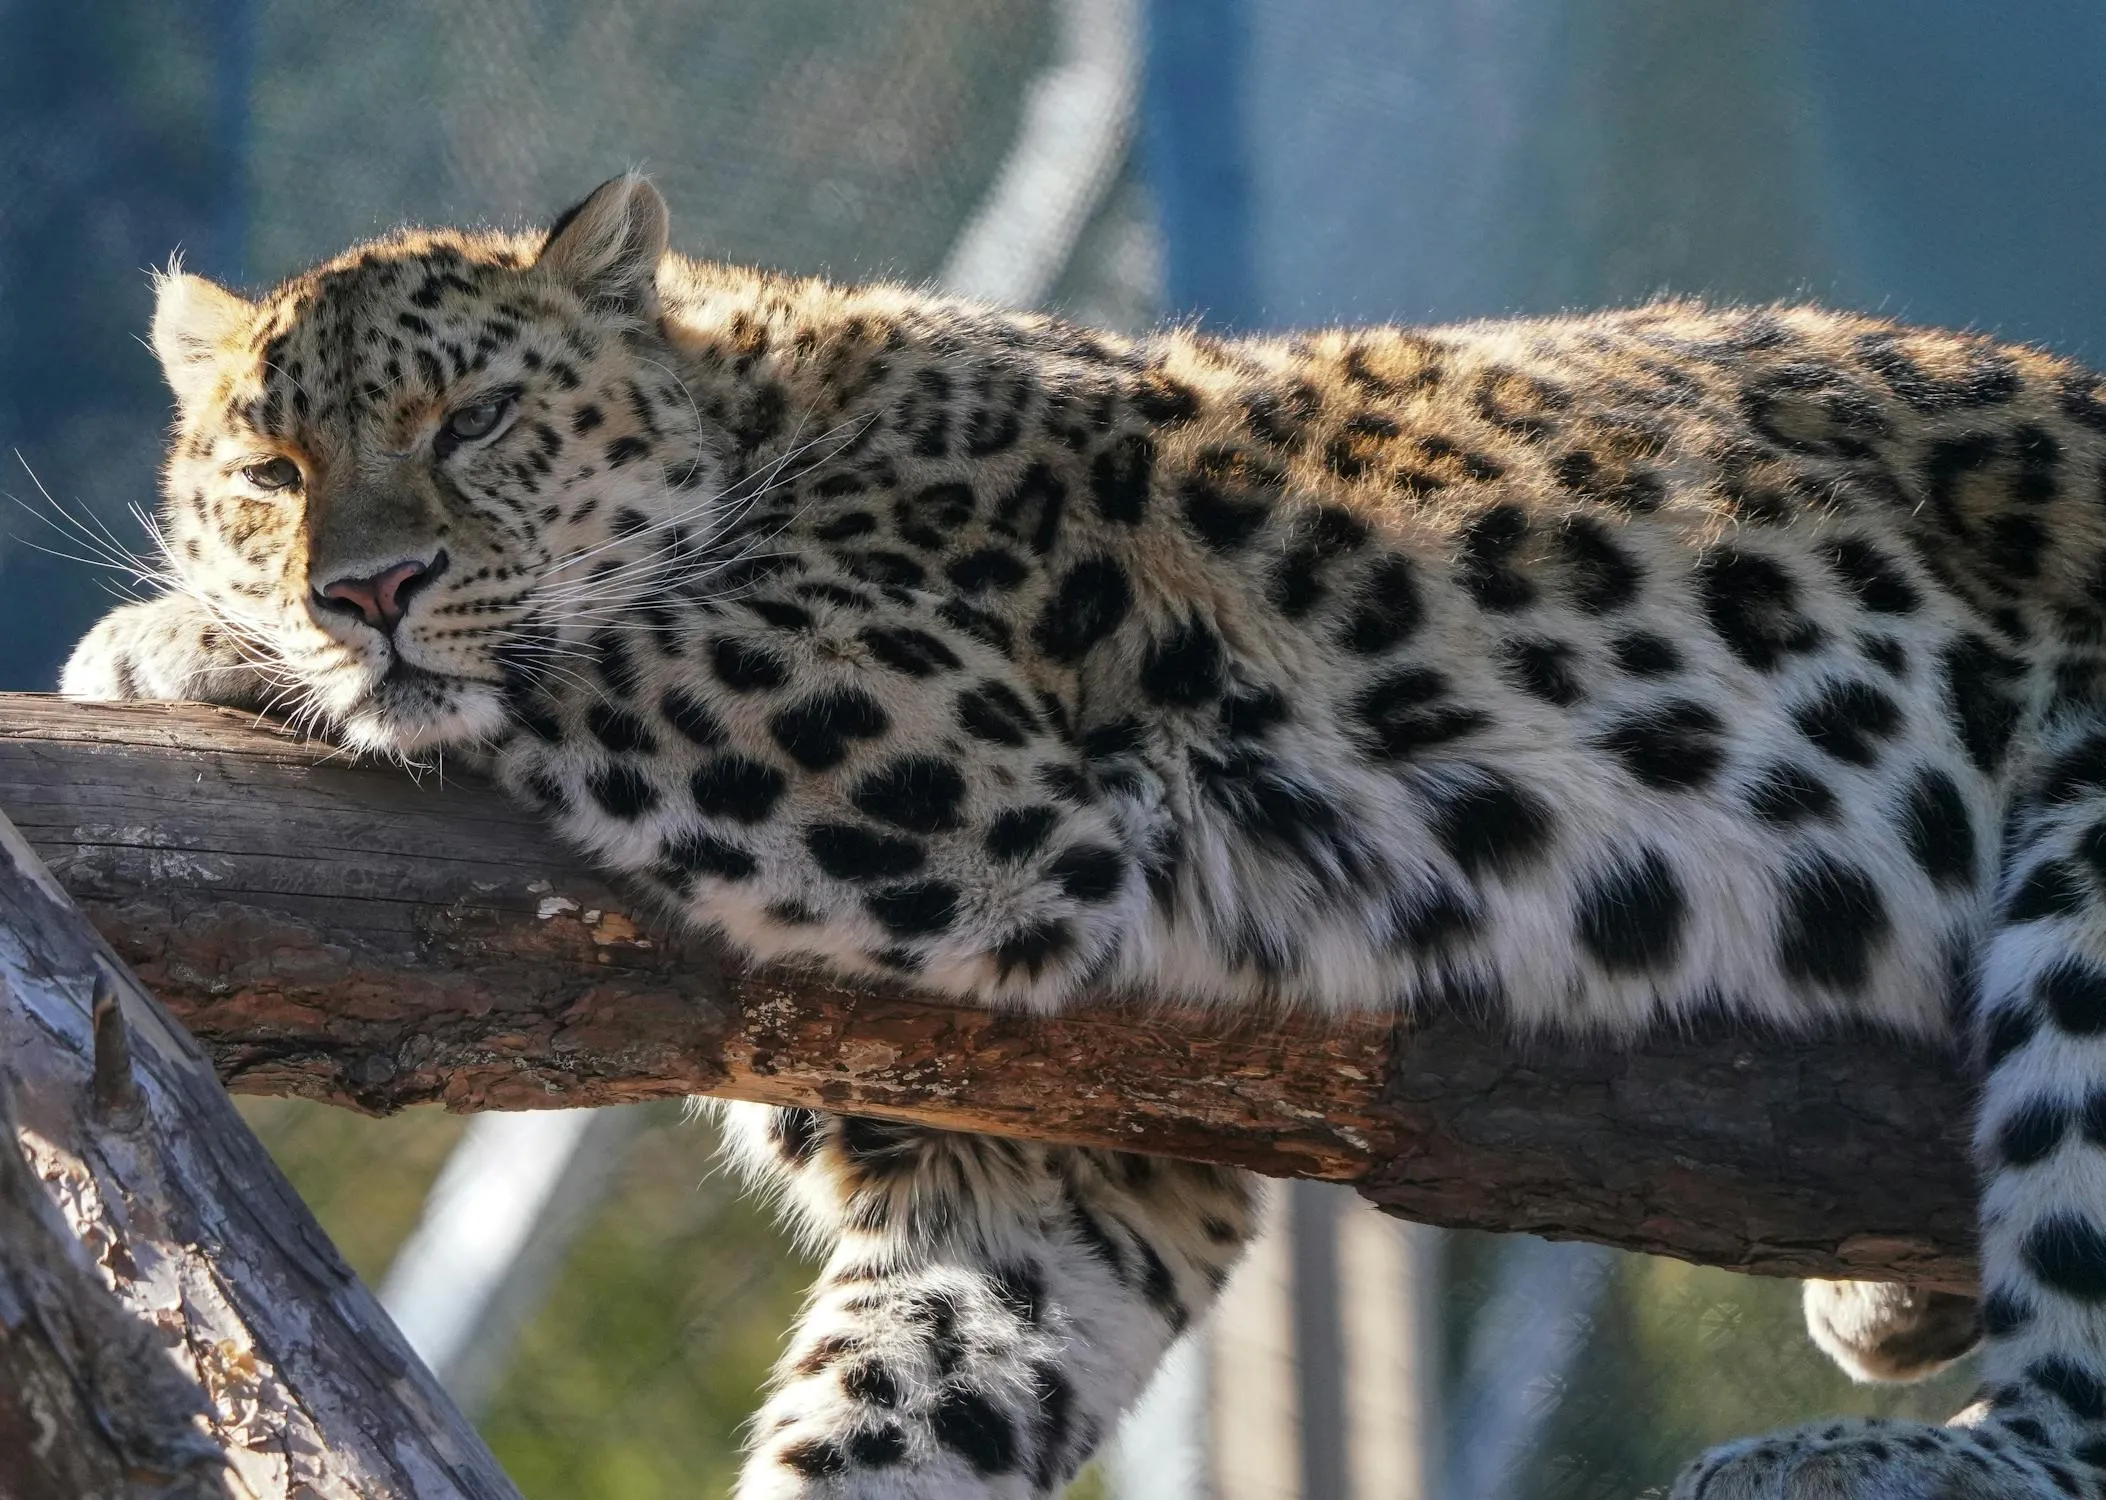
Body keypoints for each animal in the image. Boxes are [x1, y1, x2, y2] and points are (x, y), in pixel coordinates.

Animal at [58, 171, 2106, 1498]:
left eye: (474, 419)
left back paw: (1856, 1458)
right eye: (270, 470)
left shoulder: (932, 743)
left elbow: (587, 639)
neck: (762, 398)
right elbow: (900, 1401)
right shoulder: (1036, 1177)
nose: (364, 589)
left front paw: (172, 639)